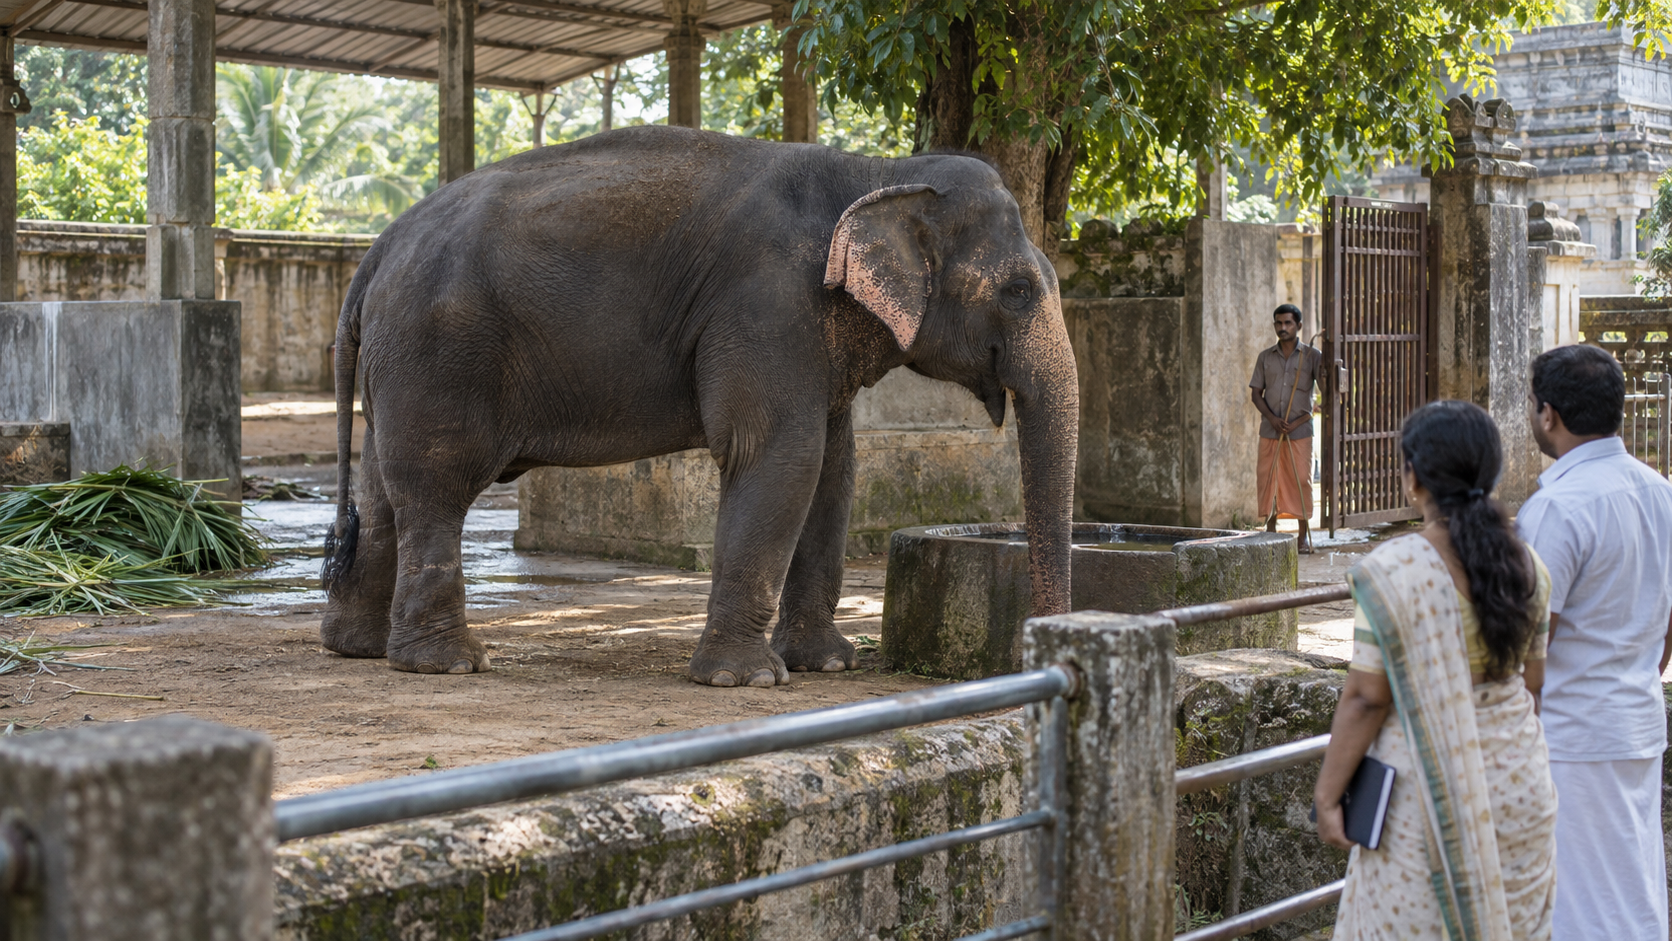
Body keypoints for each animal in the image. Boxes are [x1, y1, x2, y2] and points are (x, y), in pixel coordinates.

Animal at [319, 125, 1078, 687]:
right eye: (1016, 291)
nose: (1034, 655)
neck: (877, 172)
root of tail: (375, 253)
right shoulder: (766, 302)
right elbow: (778, 456)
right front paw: (748, 680)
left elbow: (835, 468)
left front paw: (828, 665)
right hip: (436, 352)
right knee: (435, 486)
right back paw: (448, 664)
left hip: (398, 365)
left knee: (381, 491)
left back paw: (357, 648)